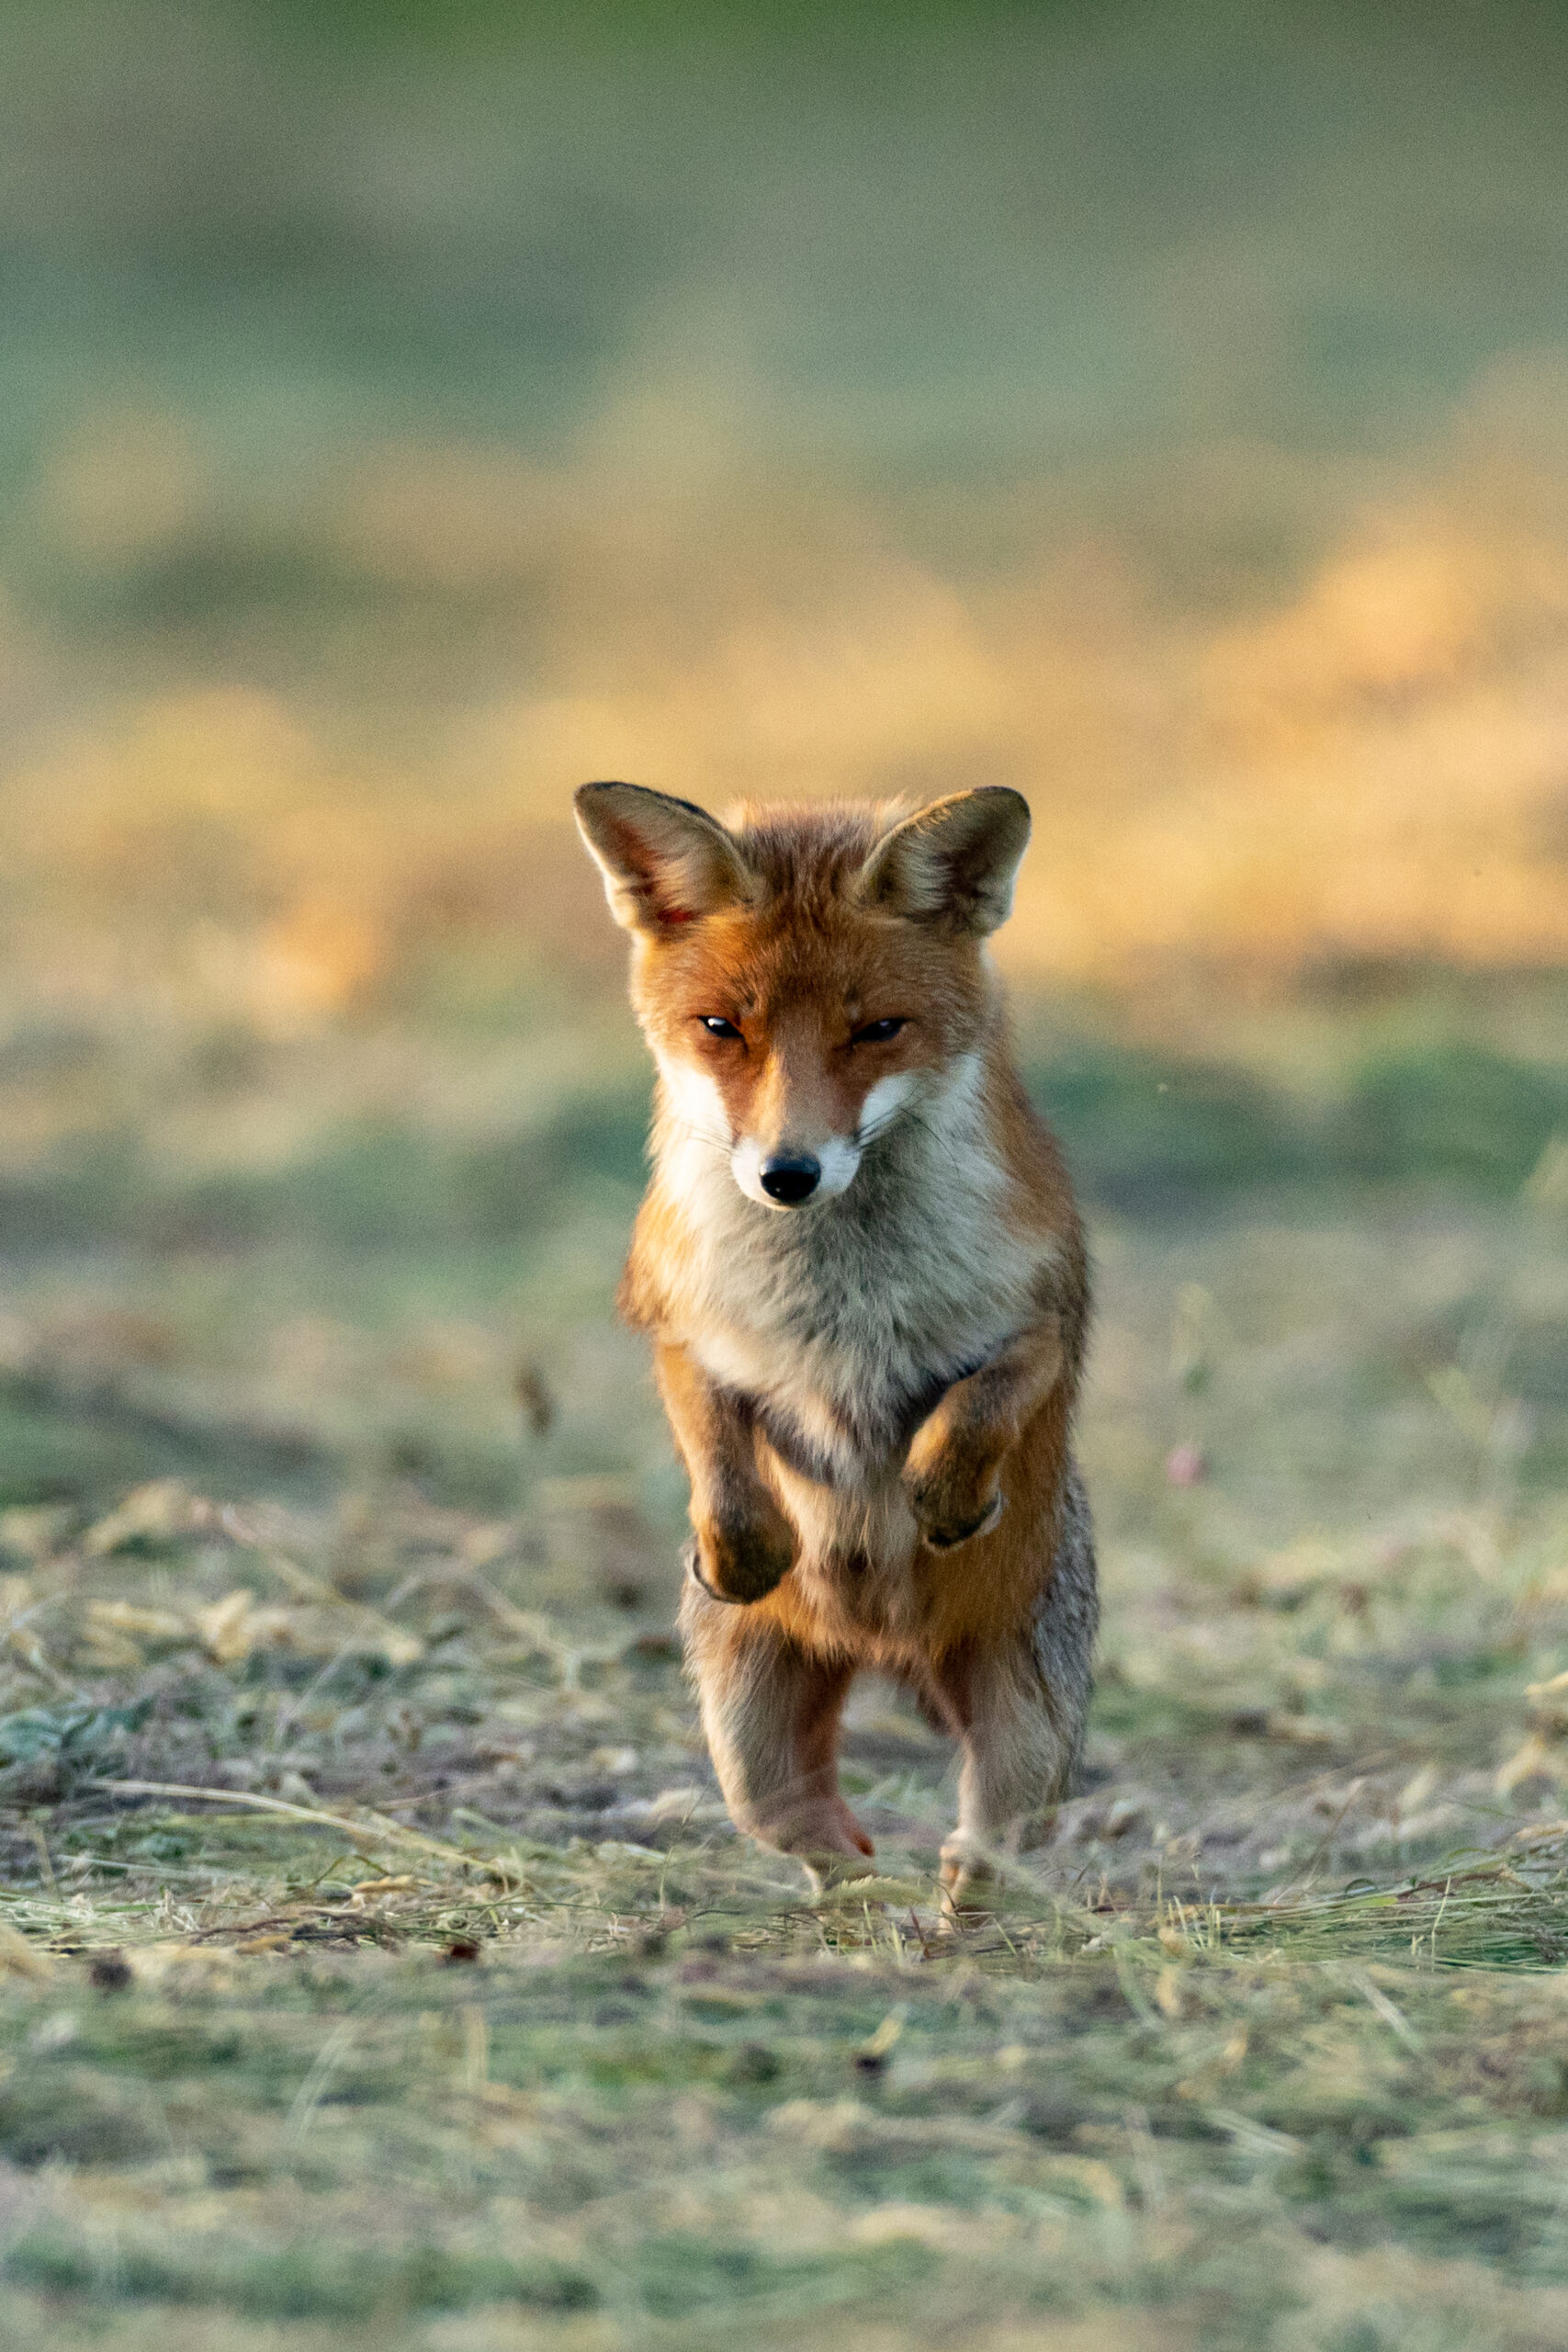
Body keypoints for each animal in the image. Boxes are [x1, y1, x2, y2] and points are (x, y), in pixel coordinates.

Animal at [573, 780, 1096, 1904]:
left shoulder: (1047, 1307)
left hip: (1026, 1737)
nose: (788, 1173)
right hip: (746, 1736)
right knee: (806, 1834)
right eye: (720, 1027)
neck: (839, 1294)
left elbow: (983, 1398)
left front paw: (944, 1492)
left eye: (879, 1030)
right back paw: (851, 1889)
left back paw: (952, 1905)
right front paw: (743, 1548)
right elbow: (717, 1452)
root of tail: (882, 1648)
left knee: (986, 1850)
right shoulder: (675, 1318)